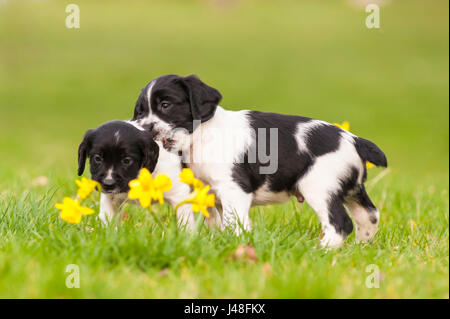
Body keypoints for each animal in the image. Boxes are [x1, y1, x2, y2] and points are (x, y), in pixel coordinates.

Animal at [130, 74, 386, 249]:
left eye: (165, 105)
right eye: (140, 112)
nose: (145, 128)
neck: (204, 135)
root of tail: (355, 140)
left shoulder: (234, 189)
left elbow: (235, 223)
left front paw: (235, 245)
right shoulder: (211, 193)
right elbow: (217, 223)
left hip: (319, 188)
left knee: (340, 224)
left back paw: (320, 251)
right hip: (352, 189)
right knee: (369, 216)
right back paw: (359, 249)